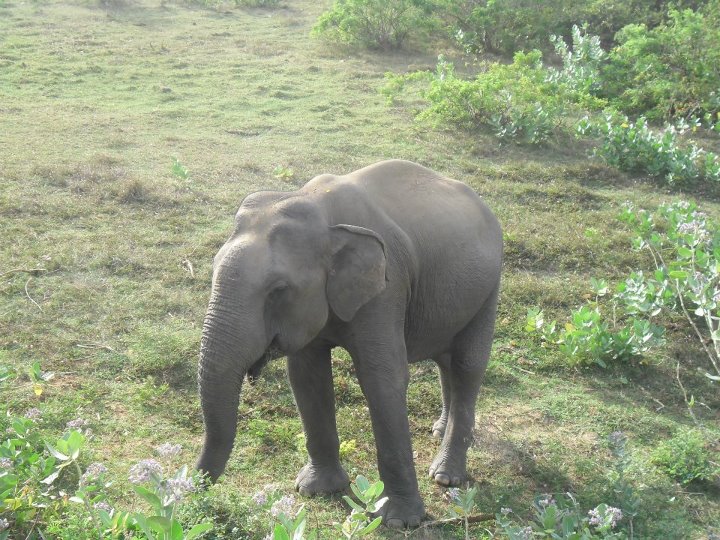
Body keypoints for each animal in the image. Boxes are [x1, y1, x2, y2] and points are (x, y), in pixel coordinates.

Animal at [194, 158, 504, 528]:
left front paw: (399, 521)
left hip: (490, 286)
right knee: (446, 362)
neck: (317, 206)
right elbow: (306, 377)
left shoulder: (387, 287)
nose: (193, 489)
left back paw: (446, 476)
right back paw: (438, 432)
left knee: (468, 365)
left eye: (278, 290)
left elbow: (382, 379)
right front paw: (314, 489)